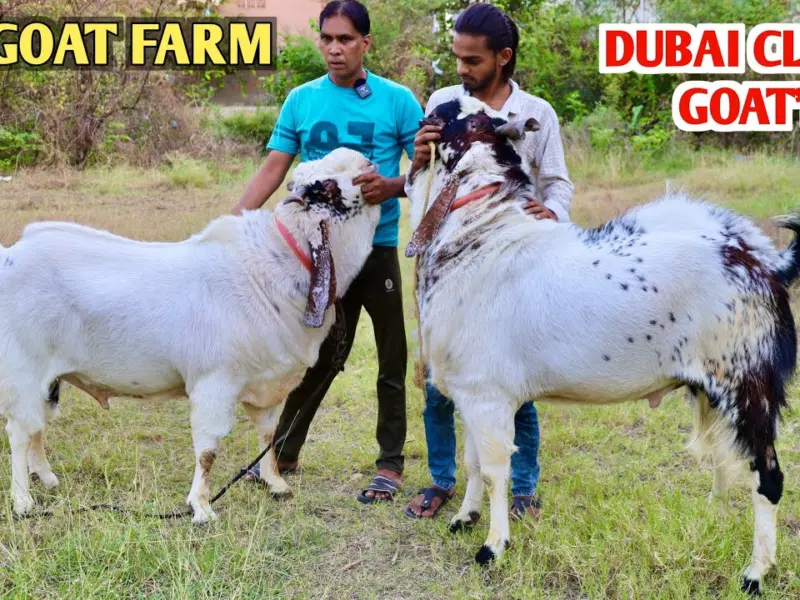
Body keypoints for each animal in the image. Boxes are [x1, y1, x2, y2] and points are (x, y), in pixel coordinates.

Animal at [0, 147, 381, 523]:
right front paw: (201, 506)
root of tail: (10, 256)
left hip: (47, 377)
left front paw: (276, 485)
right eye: (325, 186)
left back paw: (47, 478)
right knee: (19, 432)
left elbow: (268, 436)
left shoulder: (270, 385)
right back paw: (23, 502)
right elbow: (208, 451)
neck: (272, 268)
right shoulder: (214, 382)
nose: (368, 161)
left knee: (36, 426)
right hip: (23, 369)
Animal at [404, 96, 799, 595]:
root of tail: (768, 264)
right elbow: (472, 461)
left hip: (748, 384)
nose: (433, 111)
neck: (483, 236)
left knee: (768, 477)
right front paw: (463, 518)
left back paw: (754, 573)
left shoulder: (488, 396)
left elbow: (495, 470)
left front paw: (493, 547)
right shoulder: (471, 393)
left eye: (471, 119)